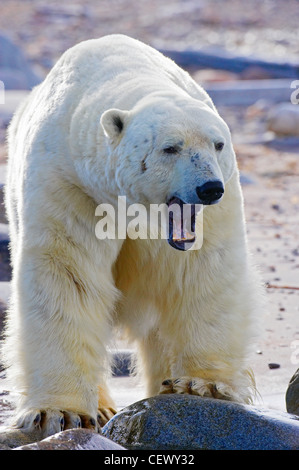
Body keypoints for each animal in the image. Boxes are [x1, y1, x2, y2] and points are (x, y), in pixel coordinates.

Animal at [2, 34, 260, 436]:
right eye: (171, 147)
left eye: (218, 144)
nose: (209, 189)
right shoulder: (69, 185)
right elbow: (66, 278)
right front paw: (60, 412)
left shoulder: (216, 209)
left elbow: (204, 273)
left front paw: (203, 384)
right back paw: (104, 407)